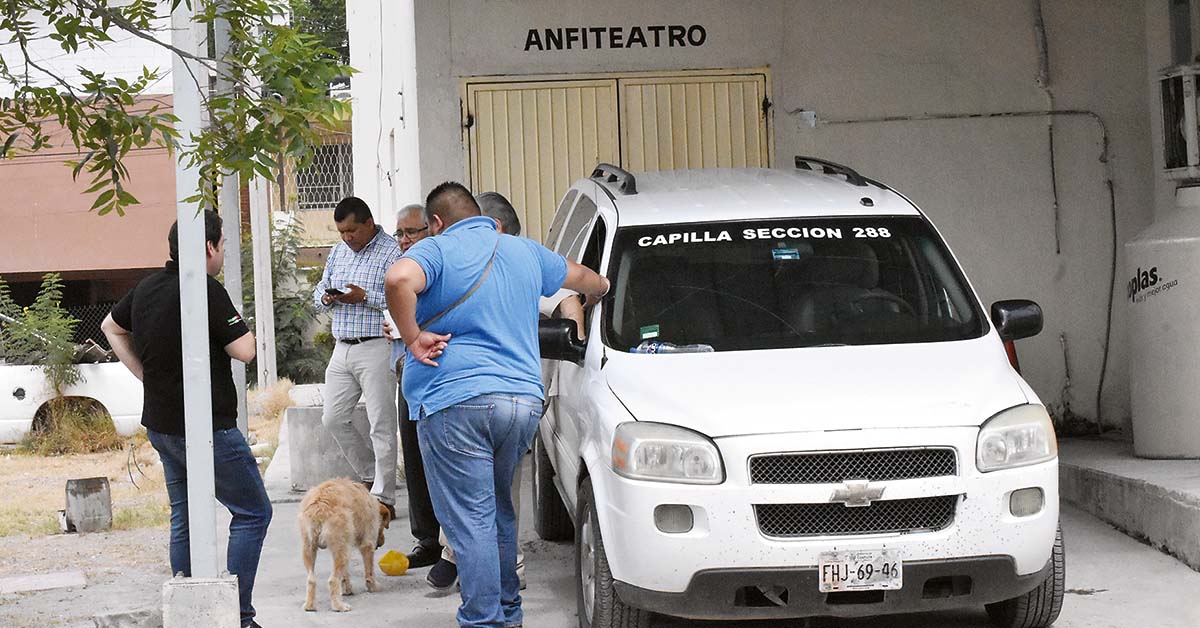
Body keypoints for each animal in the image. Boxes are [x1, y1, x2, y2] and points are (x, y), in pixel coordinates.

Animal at [299, 477, 392, 612]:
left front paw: (347, 589)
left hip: (310, 549)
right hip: (341, 550)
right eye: (383, 526)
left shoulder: (346, 545)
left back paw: (310, 606)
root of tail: (320, 507)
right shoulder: (367, 544)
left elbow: (345, 574)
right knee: (332, 580)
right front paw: (373, 586)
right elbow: (369, 572)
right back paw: (339, 606)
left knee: (311, 580)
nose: (382, 542)